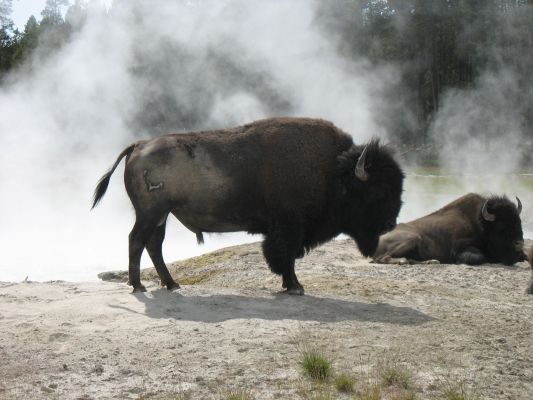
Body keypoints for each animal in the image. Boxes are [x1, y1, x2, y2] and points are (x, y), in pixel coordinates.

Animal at [93, 115, 406, 294]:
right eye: (378, 191)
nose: (391, 223)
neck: (333, 170)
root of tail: (139, 144)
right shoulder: (289, 229)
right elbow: (285, 257)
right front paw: (295, 287)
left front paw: (291, 285)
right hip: (150, 214)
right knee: (137, 241)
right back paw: (138, 285)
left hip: (161, 216)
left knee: (153, 245)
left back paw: (171, 284)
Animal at [372, 193, 524, 266]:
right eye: (501, 225)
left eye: (518, 221)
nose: (520, 244)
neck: (480, 223)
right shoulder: (460, 247)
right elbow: (479, 257)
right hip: (412, 239)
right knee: (383, 258)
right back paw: (403, 261)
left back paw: (431, 261)